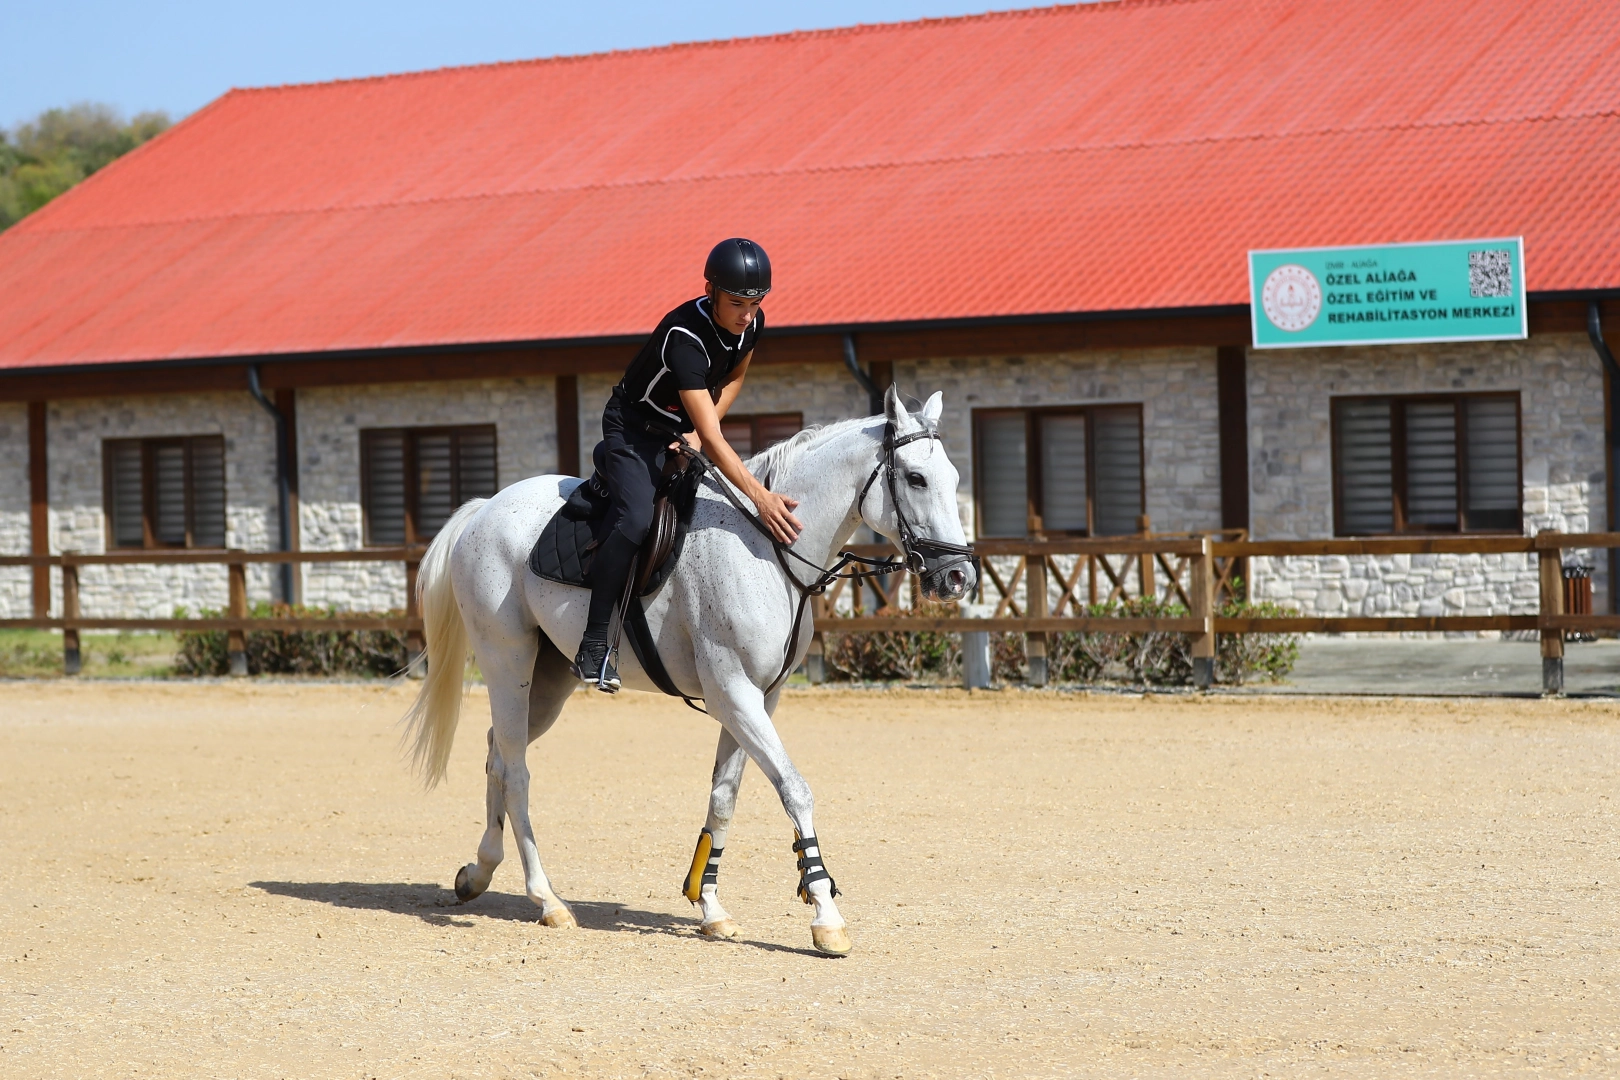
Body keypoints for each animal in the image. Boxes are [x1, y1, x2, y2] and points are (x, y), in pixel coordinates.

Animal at [401, 386, 972, 952]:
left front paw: (710, 906)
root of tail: (485, 509)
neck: (768, 548)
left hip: (546, 683)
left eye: (954, 479)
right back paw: (548, 901)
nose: (958, 576)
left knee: (499, 752)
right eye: (916, 479)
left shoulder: (759, 698)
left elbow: (724, 798)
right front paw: (825, 915)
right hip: (507, 660)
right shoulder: (732, 693)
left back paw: (479, 873)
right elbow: (794, 789)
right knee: (517, 772)